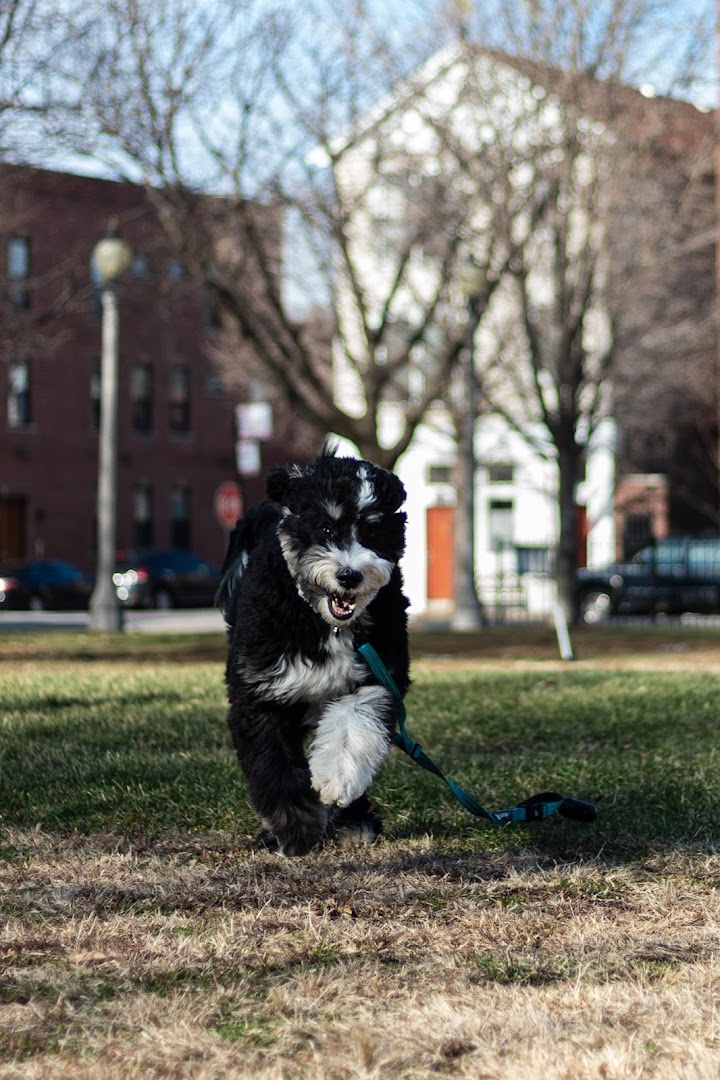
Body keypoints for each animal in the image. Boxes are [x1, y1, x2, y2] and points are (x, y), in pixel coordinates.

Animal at [215, 444, 410, 851]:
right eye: (326, 528)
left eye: (373, 531)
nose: (349, 576)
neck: (321, 618)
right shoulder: (260, 694)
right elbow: (275, 768)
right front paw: (296, 828)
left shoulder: (378, 674)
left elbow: (355, 725)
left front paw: (336, 781)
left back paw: (355, 821)